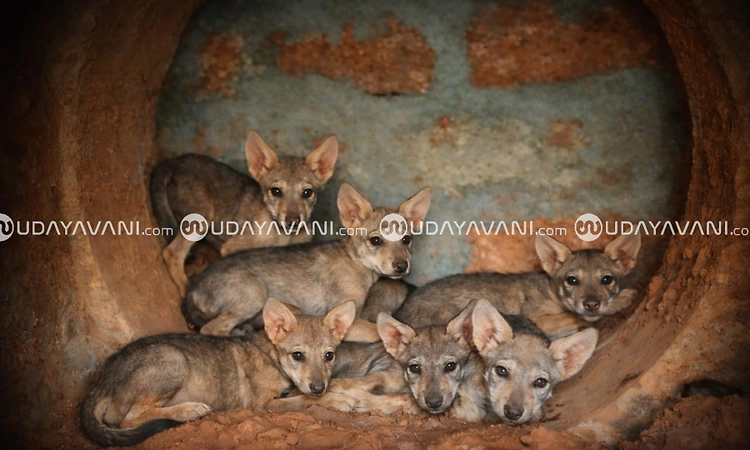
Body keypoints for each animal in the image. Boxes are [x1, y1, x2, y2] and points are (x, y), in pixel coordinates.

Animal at [80, 298, 355, 447]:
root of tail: (102, 380)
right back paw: (189, 410)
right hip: (173, 359)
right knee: (130, 418)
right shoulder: (263, 404)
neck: (271, 356)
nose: (319, 387)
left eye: (329, 356)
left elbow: (304, 394)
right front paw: (338, 401)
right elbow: (303, 400)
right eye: (298, 355)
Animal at [150, 131, 339, 295]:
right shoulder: (232, 248)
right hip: (201, 219)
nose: (293, 220)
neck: (282, 236)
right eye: (276, 191)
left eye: (307, 192)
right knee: (171, 253)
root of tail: (171, 162)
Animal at [182, 183, 432, 339]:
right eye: (376, 240)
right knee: (210, 329)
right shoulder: (347, 320)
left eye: (407, 239)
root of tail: (191, 290)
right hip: (255, 292)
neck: (356, 264)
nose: (402, 266)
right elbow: (377, 331)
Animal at [396, 234, 641, 338]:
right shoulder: (538, 319)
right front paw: (622, 299)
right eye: (572, 280)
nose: (591, 304)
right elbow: (574, 316)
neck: (551, 291)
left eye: (607, 279)